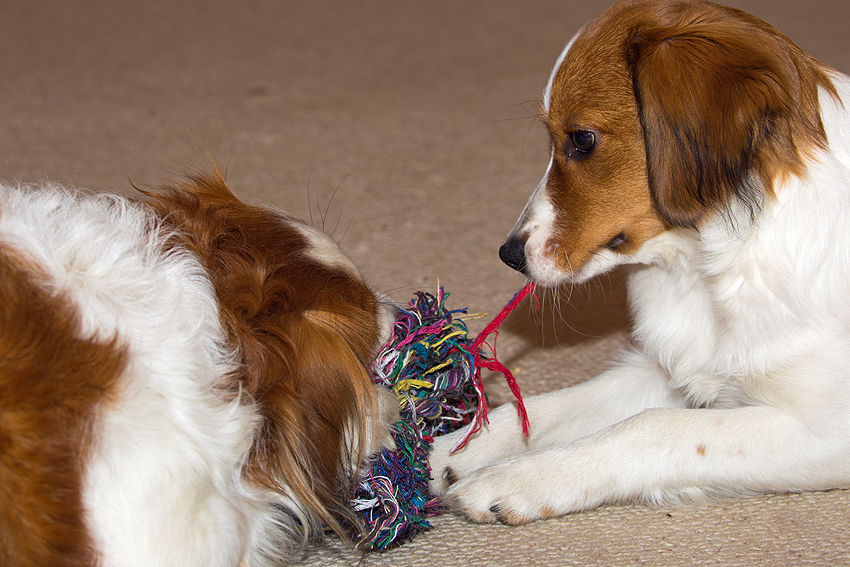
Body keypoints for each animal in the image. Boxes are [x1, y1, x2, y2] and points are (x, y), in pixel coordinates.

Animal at [428, 0, 848, 528]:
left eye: (582, 139)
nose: (509, 255)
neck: (706, 268)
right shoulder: (667, 368)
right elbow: (546, 409)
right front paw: (442, 452)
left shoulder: (829, 430)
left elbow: (654, 427)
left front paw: (515, 478)